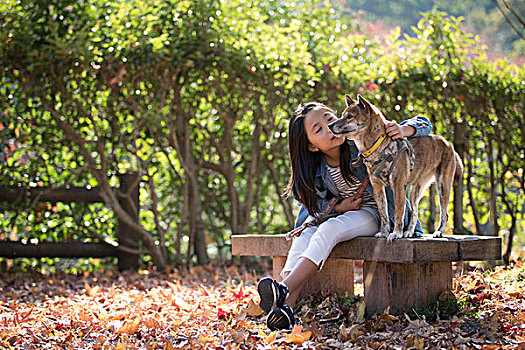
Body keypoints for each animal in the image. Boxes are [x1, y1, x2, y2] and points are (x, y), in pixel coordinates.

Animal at [330, 95, 460, 241]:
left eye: (349, 116)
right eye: (342, 115)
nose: (329, 125)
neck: (378, 145)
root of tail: (448, 143)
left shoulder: (398, 186)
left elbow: (398, 212)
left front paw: (396, 233)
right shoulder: (378, 187)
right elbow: (384, 214)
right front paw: (384, 232)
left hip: (443, 186)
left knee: (444, 212)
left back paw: (438, 232)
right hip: (415, 190)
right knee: (415, 211)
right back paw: (409, 232)